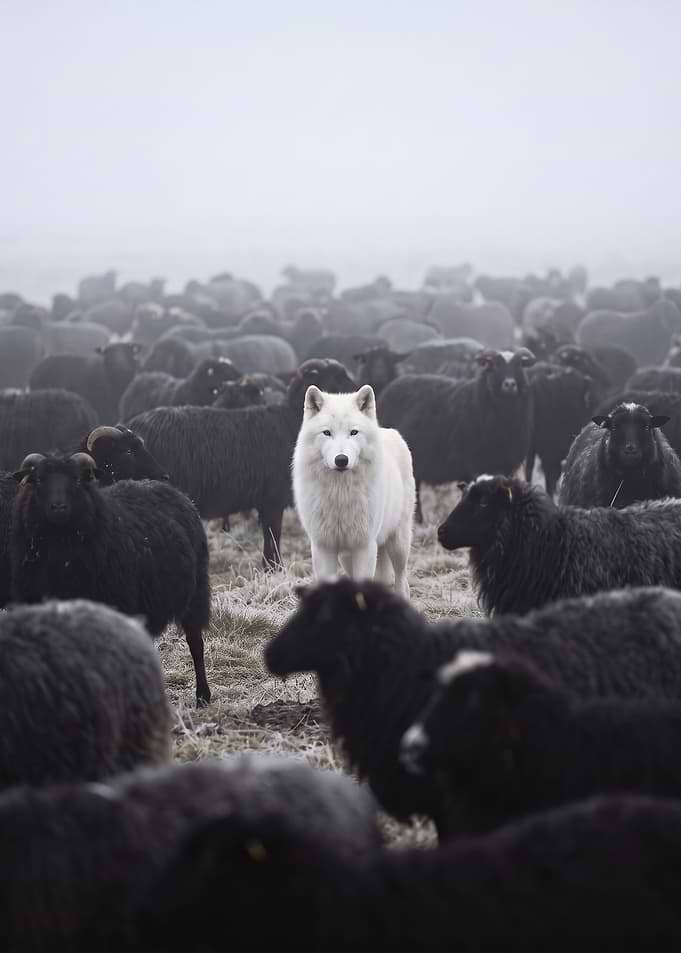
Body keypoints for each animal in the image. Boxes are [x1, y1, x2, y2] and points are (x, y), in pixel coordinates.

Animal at [11, 452, 211, 705]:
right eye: (39, 480)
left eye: (77, 480)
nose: (58, 507)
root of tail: (174, 491)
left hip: (196, 594)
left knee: (196, 643)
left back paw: (203, 696)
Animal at [128, 359, 355, 568]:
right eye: (335, 376)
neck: (289, 421)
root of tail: (132, 425)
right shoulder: (273, 497)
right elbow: (273, 533)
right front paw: (274, 567)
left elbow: (270, 534)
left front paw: (269, 567)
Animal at [292, 384, 415, 595]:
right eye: (327, 433)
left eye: (354, 432)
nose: (341, 460)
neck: (340, 493)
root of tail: (389, 431)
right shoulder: (323, 547)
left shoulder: (364, 547)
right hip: (347, 557)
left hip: (398, 543)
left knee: (401, 579)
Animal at [378, 348, 535, 522]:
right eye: (493, 365)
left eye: (519, 364)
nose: (509, 384)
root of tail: (391, 386)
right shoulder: (472, 465)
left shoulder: (505, 466)